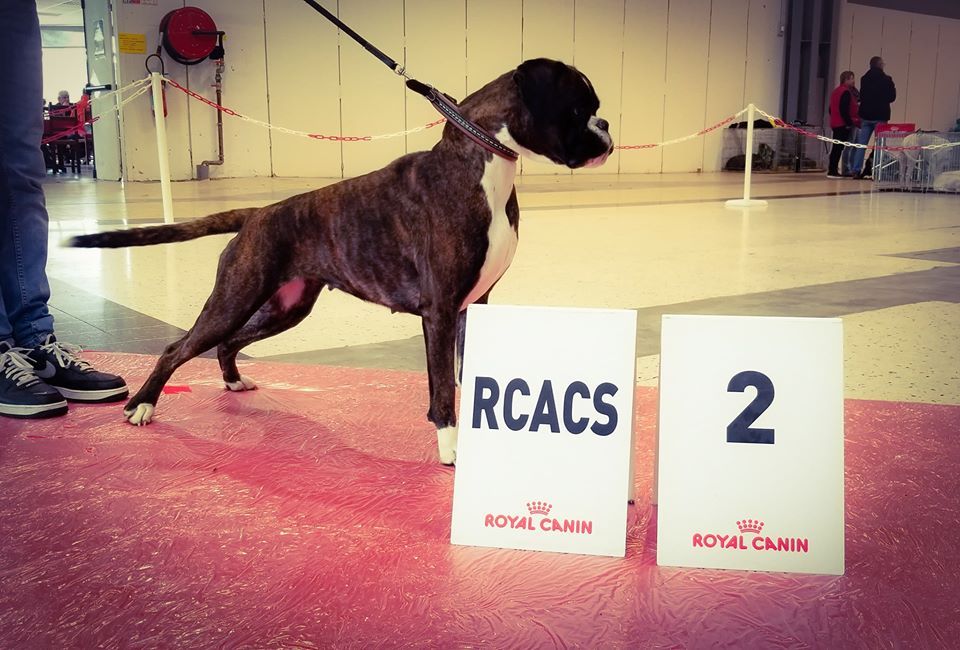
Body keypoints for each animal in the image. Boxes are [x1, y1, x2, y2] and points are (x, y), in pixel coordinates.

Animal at [70, 58, 613, 464]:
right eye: (578, 107)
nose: (606, 126)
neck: (482, 164)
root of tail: (257, 213)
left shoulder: (473, 306)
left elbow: (466, 375)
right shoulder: (440, 311)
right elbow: (443, 390)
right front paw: (452, 449)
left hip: (284, 307)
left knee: (229, 343)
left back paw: (233, 381)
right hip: (234, 299)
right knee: (177, 347)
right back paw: (141, 407)